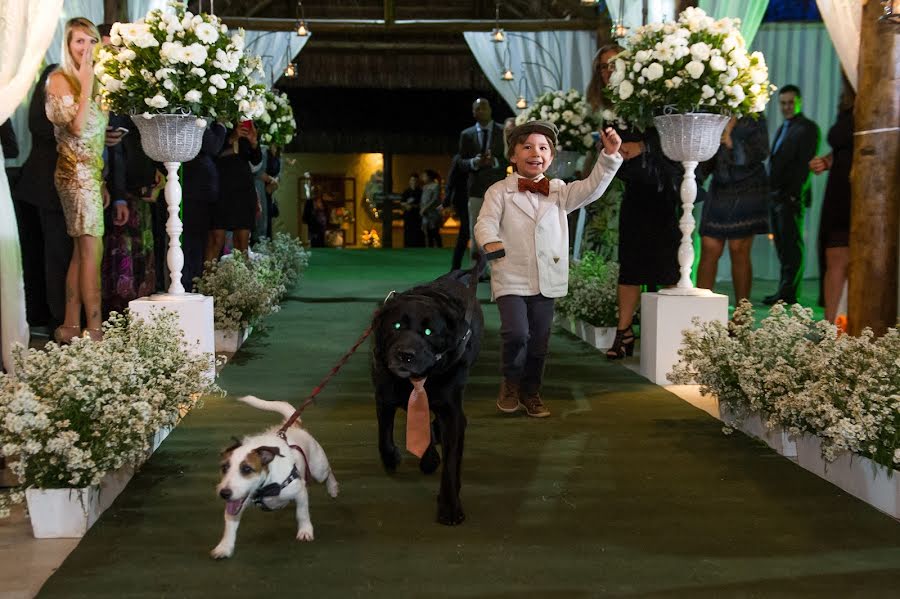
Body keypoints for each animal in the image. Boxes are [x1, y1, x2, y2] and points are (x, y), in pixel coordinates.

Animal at [370, 268, 482, 524]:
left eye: (429, 332)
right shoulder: (384, 395)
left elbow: (451, 463)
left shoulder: (451, 412)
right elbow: (384, 436)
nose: (405, 355)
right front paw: (394, 457)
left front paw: (450, 508)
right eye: (396, 325)